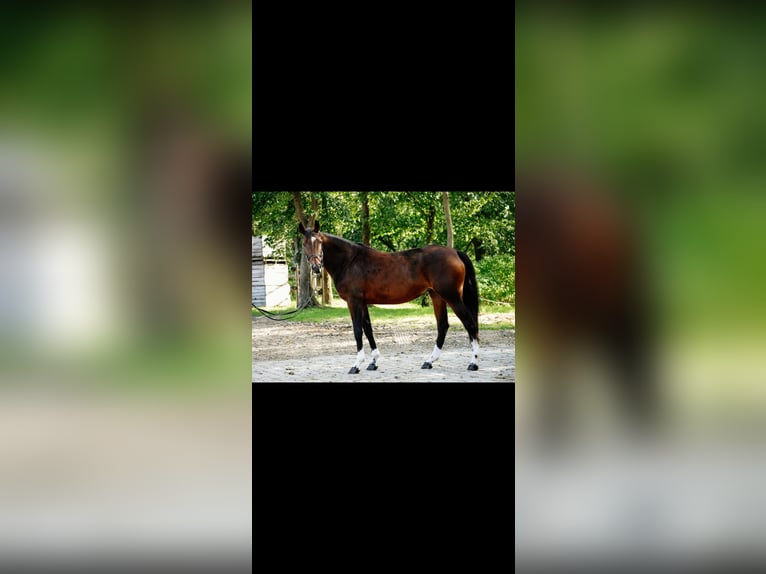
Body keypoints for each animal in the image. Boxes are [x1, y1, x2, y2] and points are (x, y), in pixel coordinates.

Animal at [299, 220, 481, 374]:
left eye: (319, 242)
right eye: (304, 244)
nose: (315, 267)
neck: (350, 261)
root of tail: (455, 252)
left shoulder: (353, 301)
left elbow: (357, 330)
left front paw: (356, 365)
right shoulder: (363, 302)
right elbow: (368, 329)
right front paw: (373, 362)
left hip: (452, 297)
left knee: (469, 323)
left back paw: (473, 363)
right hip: (437, 296)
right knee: (443, 325)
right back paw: (429, 361)